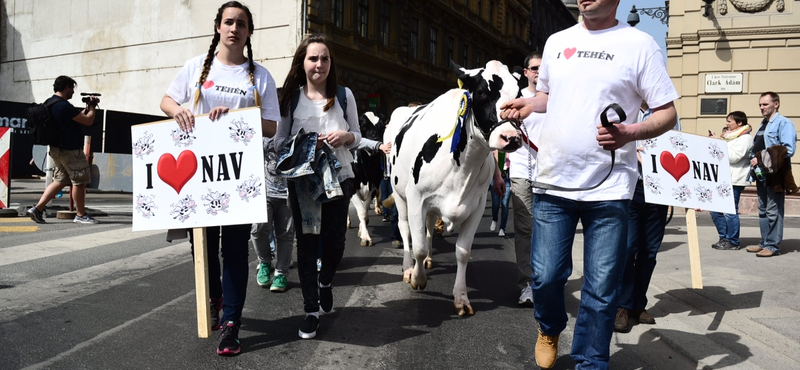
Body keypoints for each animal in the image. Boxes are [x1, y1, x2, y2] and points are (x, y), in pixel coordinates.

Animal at [350, 111, 388, 247]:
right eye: (363, 126)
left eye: (382, 127)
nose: (377, 141)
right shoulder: (351, 187)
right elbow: (361, 211)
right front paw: (365, 237)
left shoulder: (374, 185)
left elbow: (365, 210)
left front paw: (362, 232)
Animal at [386, 60, 520, 316]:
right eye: (481, 92)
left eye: (519, 95)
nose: (511, 137)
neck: (463, 166)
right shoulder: (416, 197)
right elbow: (417, 245)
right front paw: (418, 278)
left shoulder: (476, 205)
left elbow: (463, 252)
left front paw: (461, 298)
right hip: (399, 194)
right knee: (405, 229)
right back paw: (408, 268)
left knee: (428, 228)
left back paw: (428, 259)